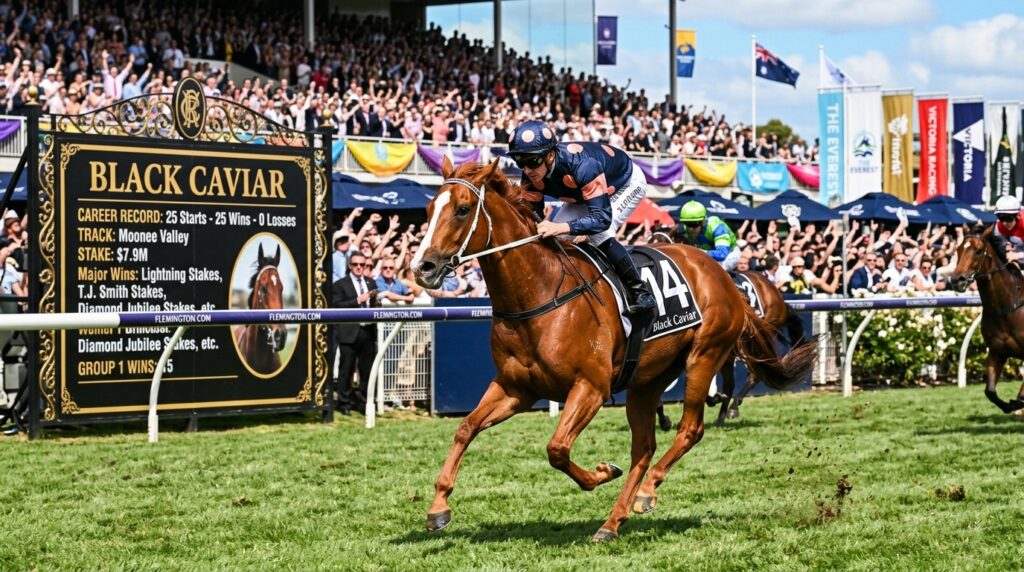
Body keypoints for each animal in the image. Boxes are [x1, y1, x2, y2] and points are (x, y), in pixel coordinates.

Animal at [412, 158, 818, 541]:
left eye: (462, 209)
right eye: (429, 208)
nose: (423, 267)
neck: (540, 291)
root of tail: (724, 279)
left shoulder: (591, 387)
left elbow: (557, 448)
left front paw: (602, 473)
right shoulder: (516, 389)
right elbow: (466, 428)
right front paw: (438, 507)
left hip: (704, 355)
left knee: (691, 428)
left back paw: (651, 487)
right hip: (647, 380)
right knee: (645, 446)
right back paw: (613, 521)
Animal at [948, 230, 1024, 413]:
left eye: (978, 251)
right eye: (958, 249)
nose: (957, 280)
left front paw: (1017, 402)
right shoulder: (996, 352)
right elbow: (990, 391)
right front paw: (1010, 406)